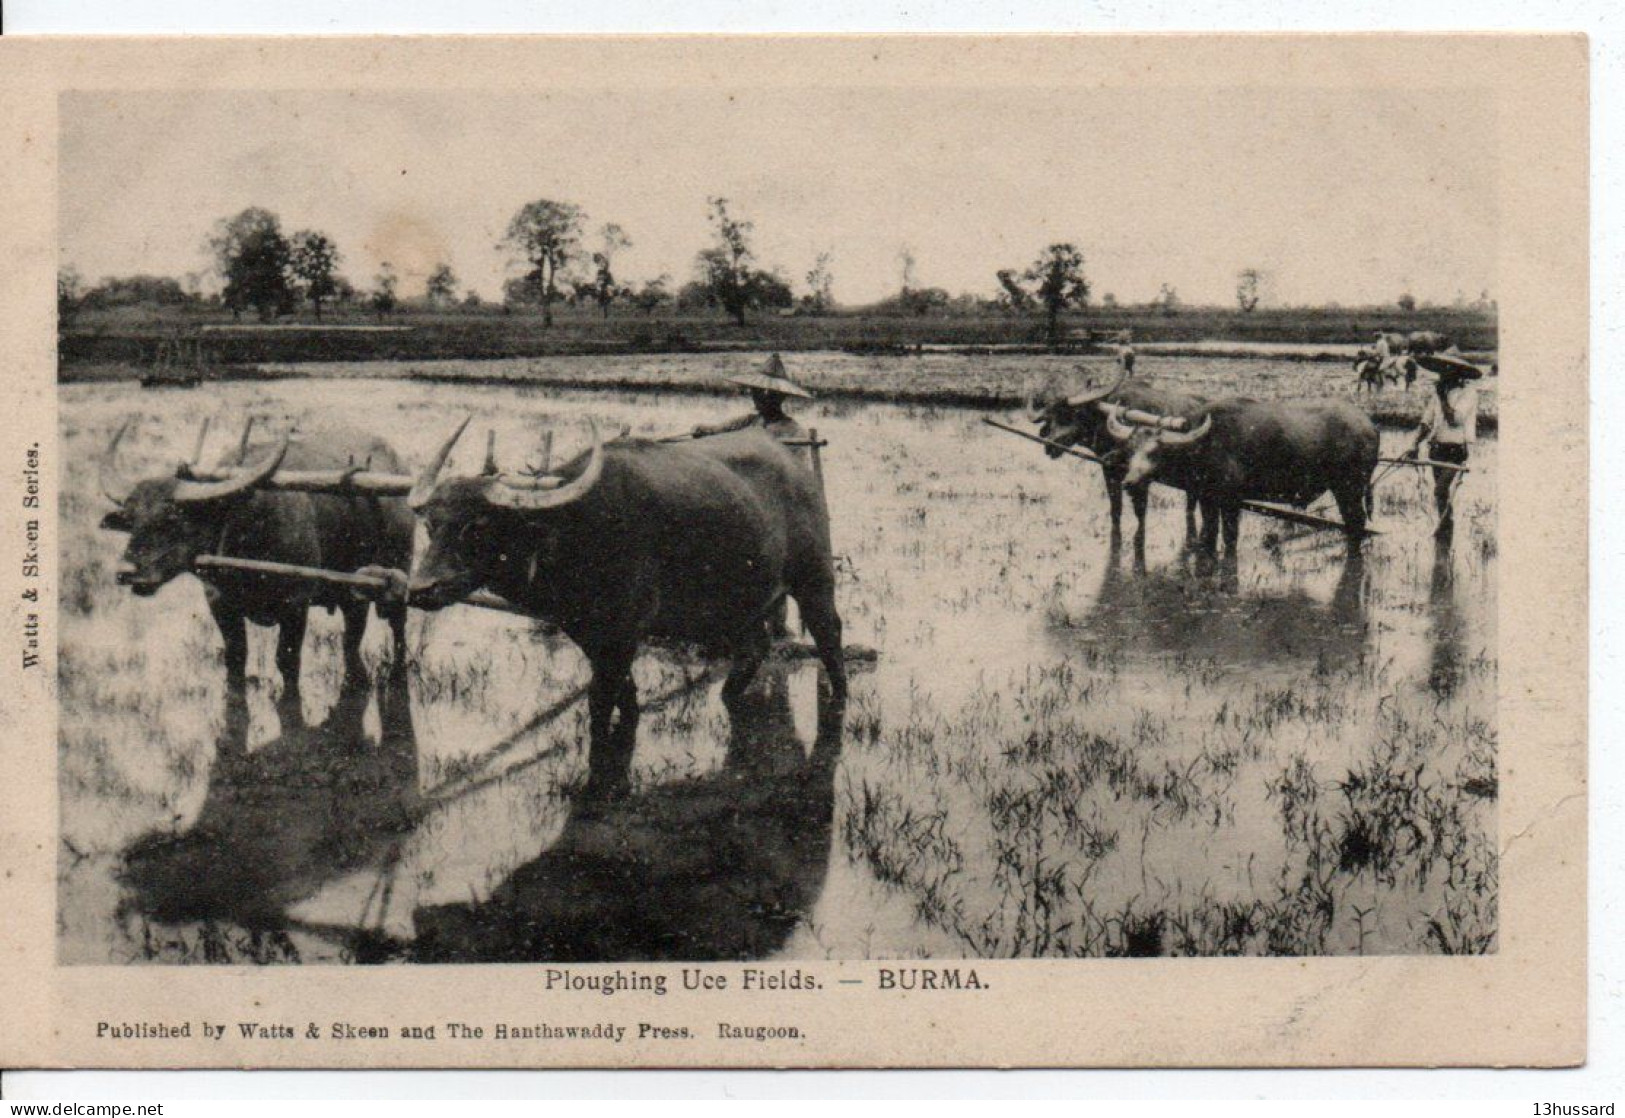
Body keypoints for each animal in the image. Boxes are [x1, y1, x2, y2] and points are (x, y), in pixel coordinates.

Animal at [99, 419, 416, 715]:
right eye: (132, 519)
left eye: (173, 518)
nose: (126, 572)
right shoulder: (219, 602)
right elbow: (235, 656)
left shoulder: (295, 604)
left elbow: (286, 661)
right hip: (354, 589)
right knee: (351, 639)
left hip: (398, 570)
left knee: (396, 625)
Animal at [403, 416, 851, 796]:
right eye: (431, 524)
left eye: (477, 526)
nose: (421, 589)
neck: (574, 530)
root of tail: (796, 467)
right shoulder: (589, 634)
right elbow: (626, 697)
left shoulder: (622, 633)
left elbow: (599, 702)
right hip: (740, 603)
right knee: (754, 646)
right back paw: (730, 697)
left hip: (814, 580)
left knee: (829, 635)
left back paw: (840, 699)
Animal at [1027, 370, 1209, 546]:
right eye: (1050, 418)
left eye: (1072, 414)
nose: (1049, 445)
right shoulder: (1110, 471)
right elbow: (1116, 510)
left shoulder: (1140, 480)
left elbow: (1140, 515)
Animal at [1105, 399, 1371, 559]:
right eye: (1130, 450)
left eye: (1155, 452)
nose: (1129, 482)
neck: (1208, 444)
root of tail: (1369, 425)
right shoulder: (1207, 499)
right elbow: (1209, 534)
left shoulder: (1232, 501)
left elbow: (1230, 538)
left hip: (1349, 489)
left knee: (1356, 523)